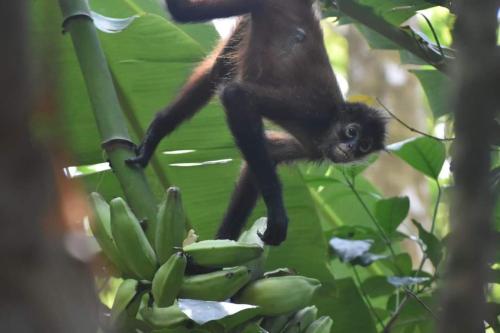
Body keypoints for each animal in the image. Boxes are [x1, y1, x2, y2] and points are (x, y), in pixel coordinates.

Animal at [125, 0, 386, 244]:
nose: (351, 148)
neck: (328, 126)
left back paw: (156, 132)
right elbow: (237, 96)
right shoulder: (312, 110)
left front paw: (217, 248)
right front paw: (278, 216)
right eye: (351, 131)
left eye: (364, 145)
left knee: (217, 71)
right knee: (182, 13)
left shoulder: (311, 148)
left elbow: (266, 156)